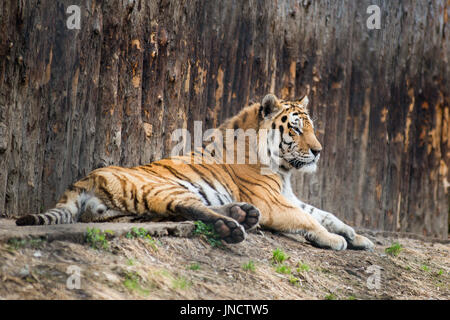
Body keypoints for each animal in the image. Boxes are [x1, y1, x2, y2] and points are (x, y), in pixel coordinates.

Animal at [15, 94, 374, 251]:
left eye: (312, 127)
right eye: (297, 129)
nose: (318, 151)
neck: (282, 169)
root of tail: (83, 180)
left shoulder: (288, 197)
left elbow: (326, 214)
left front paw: (358, 238)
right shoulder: (274, 202)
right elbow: (310, 220)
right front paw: (335, 241)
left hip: (136, 210)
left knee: (181, 212)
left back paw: (242, 216)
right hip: (165, 188)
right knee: (193, 209)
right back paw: (235, 226)